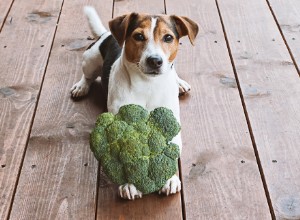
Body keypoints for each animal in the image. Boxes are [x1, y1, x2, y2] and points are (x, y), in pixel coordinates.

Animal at [69, 6, 197, 199]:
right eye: (138, 36)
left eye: (168, 37)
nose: (155, 61)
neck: (147, 84)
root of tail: (106, 34)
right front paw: (129, 184)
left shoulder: (170, 122)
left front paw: (170, 178)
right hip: (89, 60)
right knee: (88, 75)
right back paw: (81, 86)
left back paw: (179, 83)